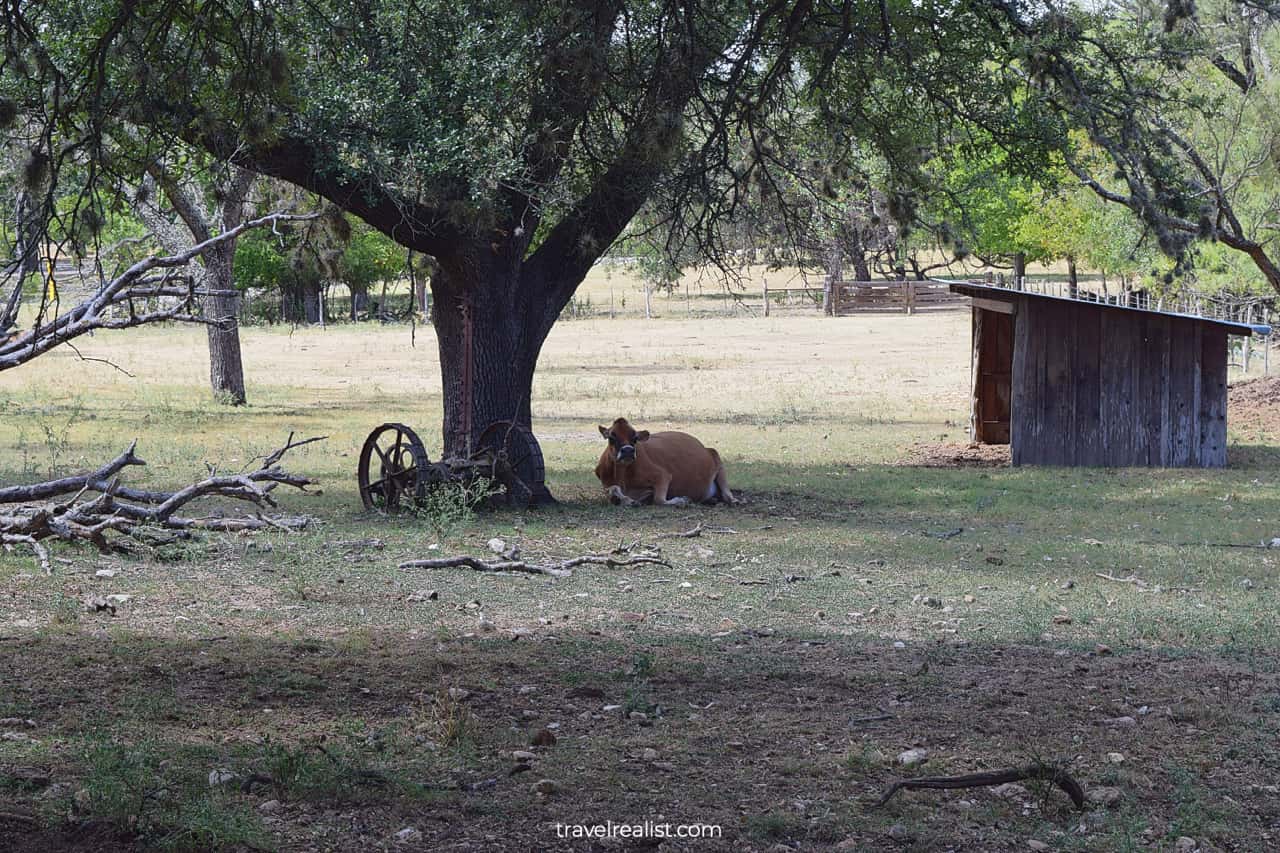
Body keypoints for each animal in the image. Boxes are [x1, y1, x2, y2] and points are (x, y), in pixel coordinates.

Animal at [593, 417, 737, 504]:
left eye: (635, 438)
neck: (622, 475)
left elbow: (659, 499)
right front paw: (627, 500)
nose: (628, 450)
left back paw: (732, 501)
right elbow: (612, 490)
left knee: (726, 494)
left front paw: (681, 501)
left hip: (717, 458)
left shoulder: (662, 475)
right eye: (612, 437)